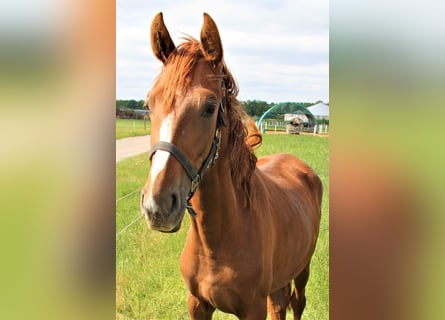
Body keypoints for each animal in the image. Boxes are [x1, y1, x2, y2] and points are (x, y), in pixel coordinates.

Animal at [140, 11, 320, 318]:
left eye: (210, 107)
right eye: (149, 104)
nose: (158, 206)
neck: (217, 239)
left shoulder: (253, 309)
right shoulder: (197, 304)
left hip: (303, 269)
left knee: (297, 302)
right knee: (280, 303)